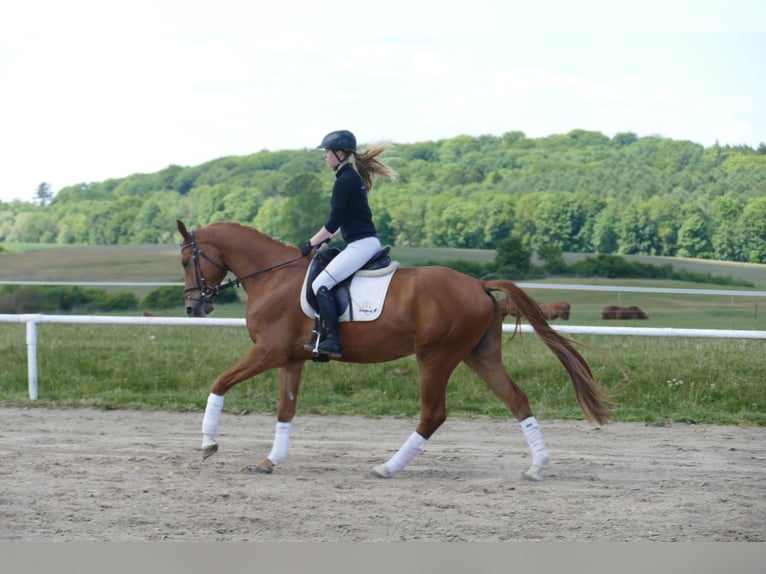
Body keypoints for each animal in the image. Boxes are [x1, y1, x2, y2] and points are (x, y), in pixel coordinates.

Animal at [177, 220, 610, 481]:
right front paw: (271, 461)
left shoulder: (268, 352)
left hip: (435, 356)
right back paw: (537, 467)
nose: (193, 308)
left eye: (185, 260)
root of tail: (479, 284)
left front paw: (208, 444)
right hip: (480, 356)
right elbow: (286, 410)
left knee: (433, 414)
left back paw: (387, 467)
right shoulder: (291, 359)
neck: (272, 276)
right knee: (517, 400)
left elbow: (219, 383)